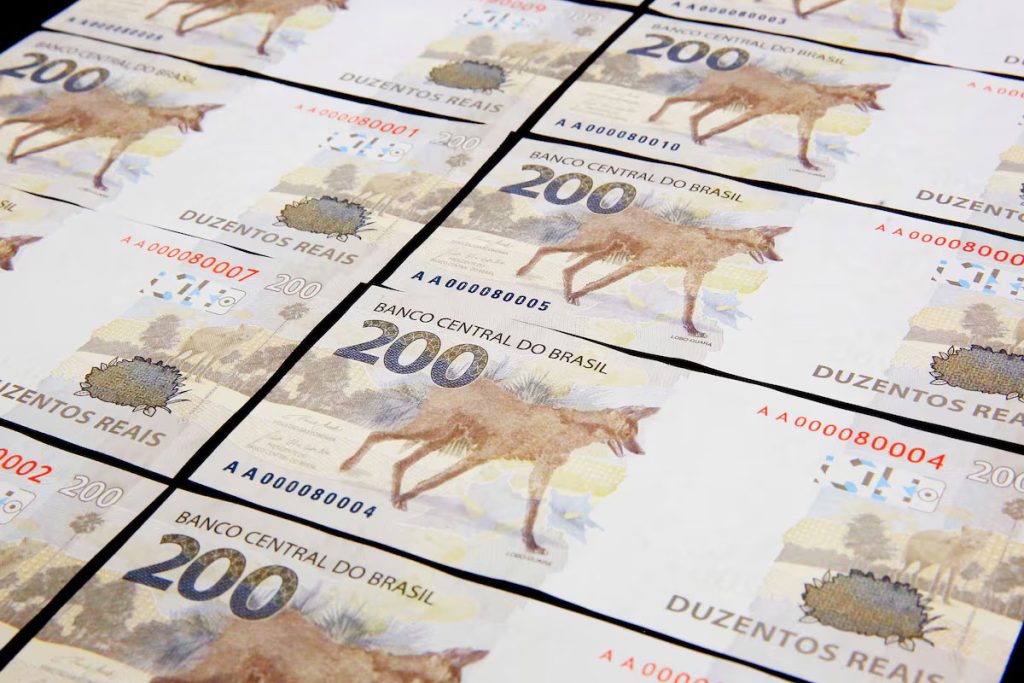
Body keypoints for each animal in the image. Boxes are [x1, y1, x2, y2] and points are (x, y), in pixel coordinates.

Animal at [0, 89, 222, 190]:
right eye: (198, 117)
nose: (200, 130)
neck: (152, 116)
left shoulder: (122, 140)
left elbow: (111, 158)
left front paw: (97, 182)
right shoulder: (89, 132)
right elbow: (50, 145)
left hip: (57, 121)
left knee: (22, 133)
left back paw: (12, 153)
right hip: (53, 118)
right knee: (14, 122)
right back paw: (10, 149)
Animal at [147, 0, 349, 56]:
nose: (346, 6)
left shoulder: (279, 14)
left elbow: (269, 32)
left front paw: (261, 49)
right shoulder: (246, 8)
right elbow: (217, 19)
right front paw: (187, 27)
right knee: (177, 3)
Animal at [340, 377, 658, 554]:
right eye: (630, 434)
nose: (642, 452)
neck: (573, 427)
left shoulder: (540, 470)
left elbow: (533, 507)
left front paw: (529, 543)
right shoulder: (483, 454)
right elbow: (435, 480)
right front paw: (410, 494)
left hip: (439, 437)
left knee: (399, 461)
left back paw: (394, 494)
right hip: (430, 430)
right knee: (376, 434)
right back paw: (349, 465)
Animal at [516, 207, 791, 338]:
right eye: (768, 246)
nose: (781, 259)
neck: (715, 242)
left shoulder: (692, 273)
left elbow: (689, 304)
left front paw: (690, 329)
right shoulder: (641, 262)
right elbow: (603, 281)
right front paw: (582, 292)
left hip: (602, 249)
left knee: (567, 268)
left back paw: (566, 292)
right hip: (592, 245)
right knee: (545, 248)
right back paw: (523, 271)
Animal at [648, 66, 890, 170]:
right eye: (871, 97)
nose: (880, 108)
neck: (823, 95)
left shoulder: (804, 119)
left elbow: (804, 143)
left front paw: (805, 163)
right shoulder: (760, 109)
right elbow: (725, 127)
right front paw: (709, 135)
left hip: (720, 100)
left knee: (694, 116)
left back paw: (695, 135)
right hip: (712, 96)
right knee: (672, 98)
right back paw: (654, 118)